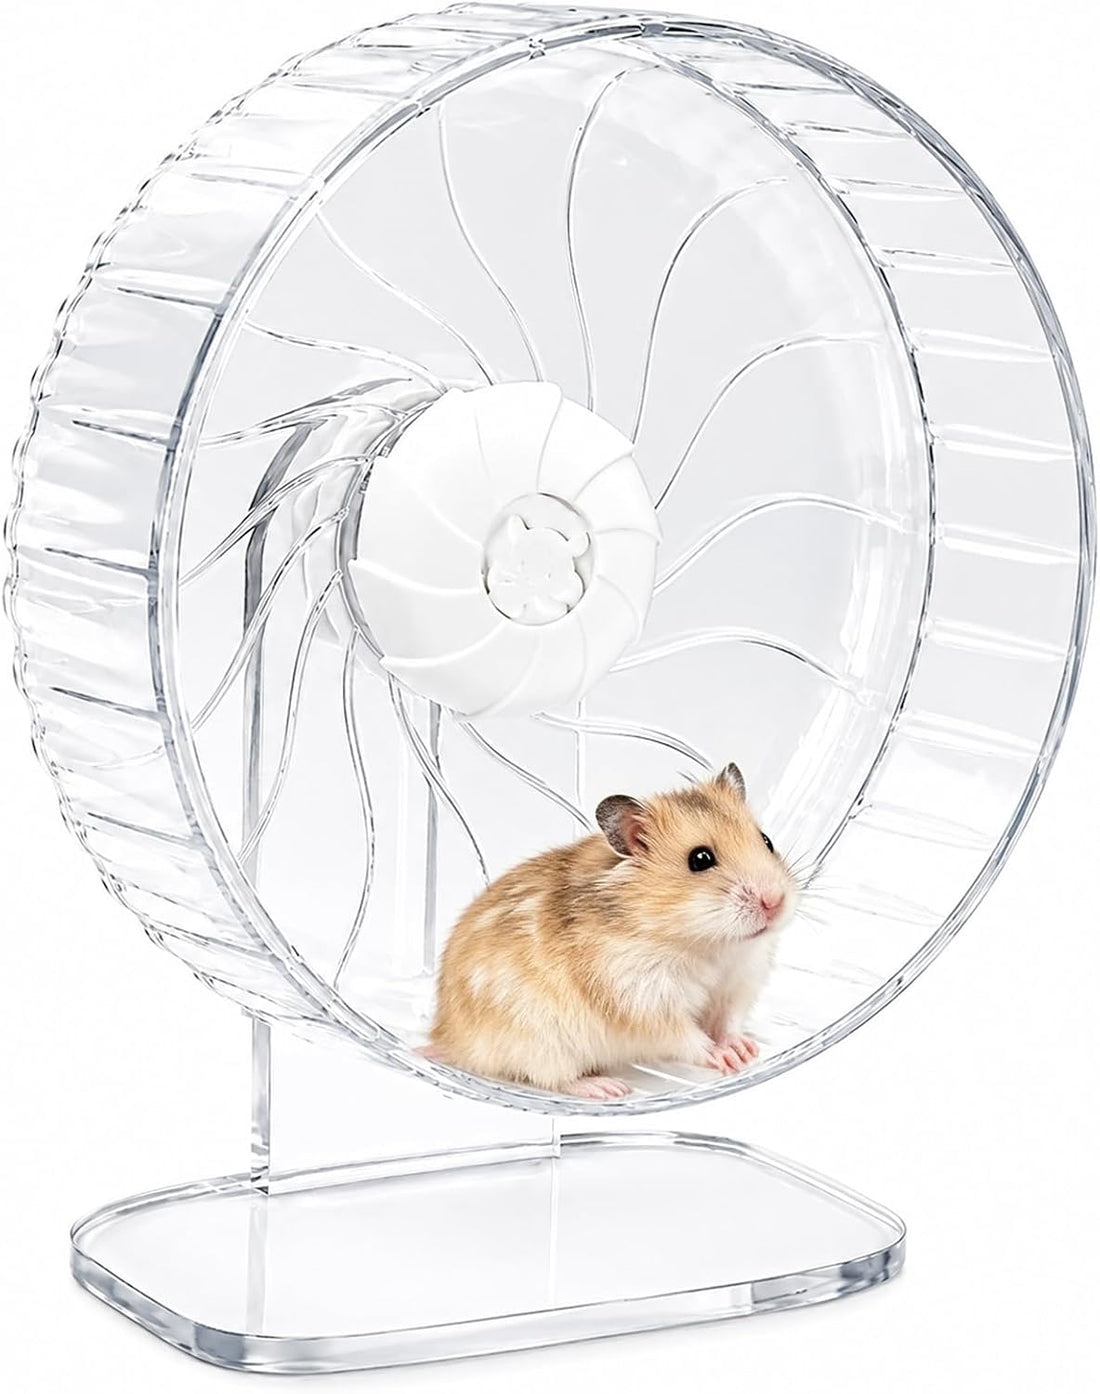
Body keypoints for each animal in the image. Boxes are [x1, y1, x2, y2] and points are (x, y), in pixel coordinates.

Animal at [426, 762, 797, 1100]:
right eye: (700, 859)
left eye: (766, 840)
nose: (774, 901)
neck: (707, 943)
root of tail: (445, 1036)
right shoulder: (643, 1000)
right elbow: (686, 1037)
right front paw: (724, 1057)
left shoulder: (739, 982)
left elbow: (729, 1020)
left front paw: (745, 1052)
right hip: (540, 1041)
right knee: (552, 1078)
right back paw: (608, 1088)